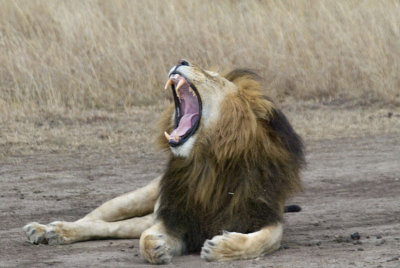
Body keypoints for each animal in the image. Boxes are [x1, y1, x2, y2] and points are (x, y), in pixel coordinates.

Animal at [23, 60, 304, 264]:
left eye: (212, 77)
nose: (182, 61)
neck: (209, 162)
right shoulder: (174, 216)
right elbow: (146, 237)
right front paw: (156, 247)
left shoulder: (266, 217)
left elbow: (260, 241)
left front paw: (221, 248)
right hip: (135, 199)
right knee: (96, 219)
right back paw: (47, 230)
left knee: (111, 227)